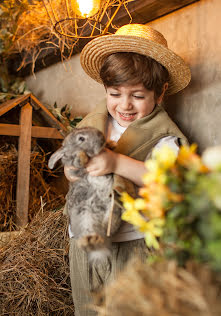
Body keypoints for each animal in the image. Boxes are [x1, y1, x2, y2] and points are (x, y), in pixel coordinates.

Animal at [48, 126, 122, 262]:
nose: (102, 138)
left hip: (113, 210)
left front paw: (112, 144)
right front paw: (81, 156)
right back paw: (89, 241)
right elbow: (77, 162)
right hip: (85, 217)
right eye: (81, 138)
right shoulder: (75, 170)